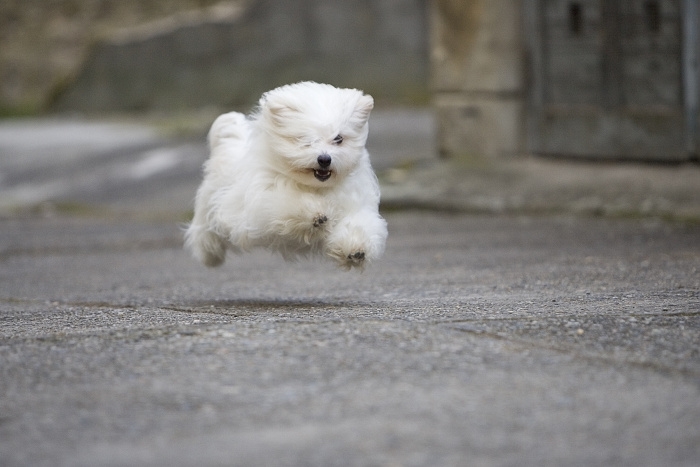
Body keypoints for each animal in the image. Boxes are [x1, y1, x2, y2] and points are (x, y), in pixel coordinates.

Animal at [185, 82, 388, 268]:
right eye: (305, 139)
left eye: (338, 138)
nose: (324, 159)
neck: (315, 186)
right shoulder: (266, 197)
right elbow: (290, 202)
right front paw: (316, 214)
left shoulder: (354, 202)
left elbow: (356, 223)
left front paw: (356, 249)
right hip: (213, 203)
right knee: (206, 232)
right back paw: (209, 255)